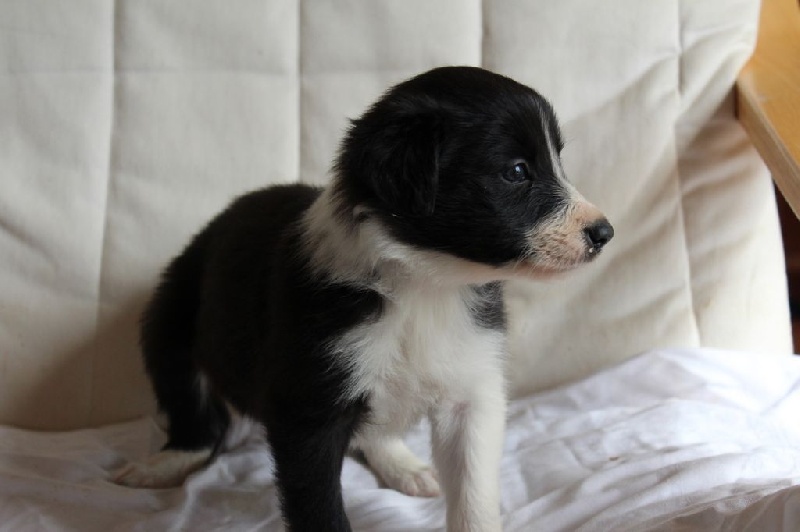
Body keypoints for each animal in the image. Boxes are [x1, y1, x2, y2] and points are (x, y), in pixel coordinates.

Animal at [114, 66, 613, 532]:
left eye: (556, 162)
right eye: (516, 171)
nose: (604, 233)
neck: (427, 282)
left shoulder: (470, 392)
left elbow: (473, 492)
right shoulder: (309, 407)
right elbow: (319, 507)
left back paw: (405, 466)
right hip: (169, 319)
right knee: (193, 414)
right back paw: (161, 465)